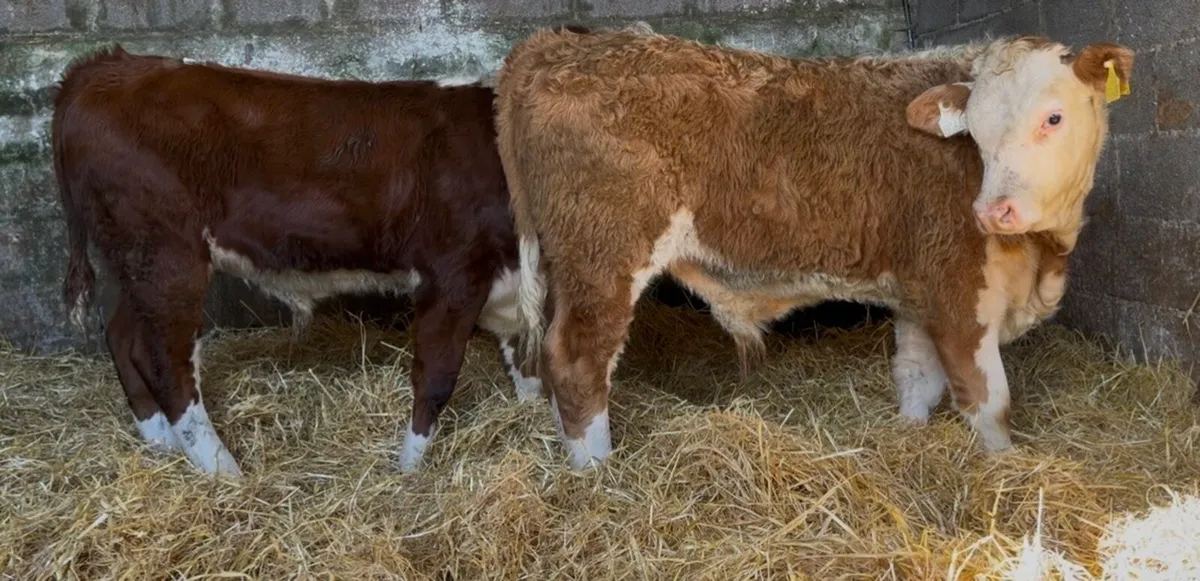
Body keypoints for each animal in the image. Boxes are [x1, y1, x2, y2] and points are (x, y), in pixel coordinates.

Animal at [50, 45, 559, 478]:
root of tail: (105, 67)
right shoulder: (453, 273)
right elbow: (436, 378)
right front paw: (408, 471)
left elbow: (526, 364)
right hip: (166, 253)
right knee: (166, 360)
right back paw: (222, 470)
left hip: (130, 259)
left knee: (123, 337)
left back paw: (160, 442)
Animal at [495, 28, 1134, 469]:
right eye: (973, 134)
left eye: (1054, 117)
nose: (992, 211)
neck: (1044, 254)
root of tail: (557, 43)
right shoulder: (958, 294)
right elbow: (989, 404)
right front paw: (1004, 470)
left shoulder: (918, 293)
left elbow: (916, 380)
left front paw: (907, 440)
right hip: (603, 254)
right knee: (576, 361)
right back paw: (597, 473)